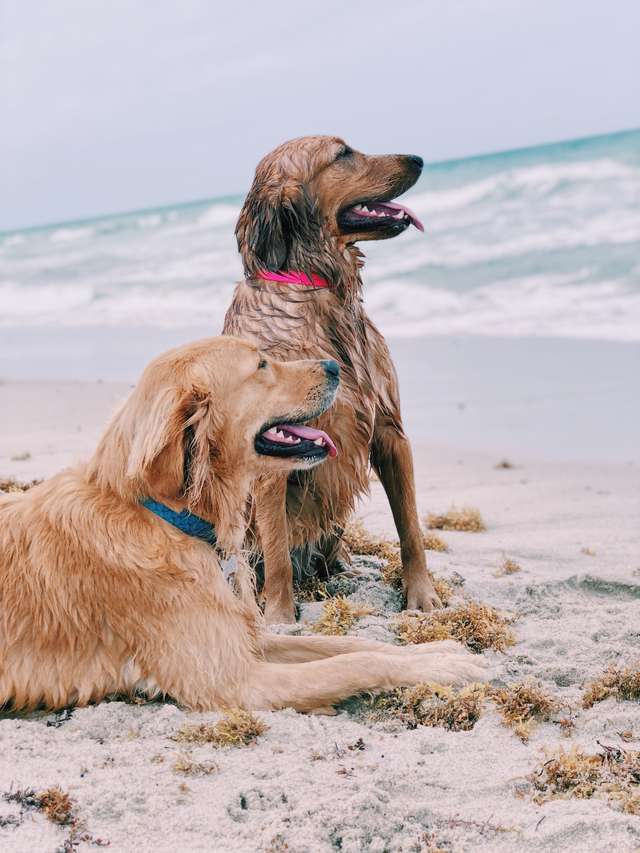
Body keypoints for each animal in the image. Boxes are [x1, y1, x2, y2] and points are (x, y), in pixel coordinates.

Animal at [225, 136, 440, 624]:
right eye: (342, 154)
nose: (419, 158)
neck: (320, 293)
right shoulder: (274, 453)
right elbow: (278, 552)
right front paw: (281, 618)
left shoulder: (390, 431)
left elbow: (411, 528)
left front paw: (420, 595)